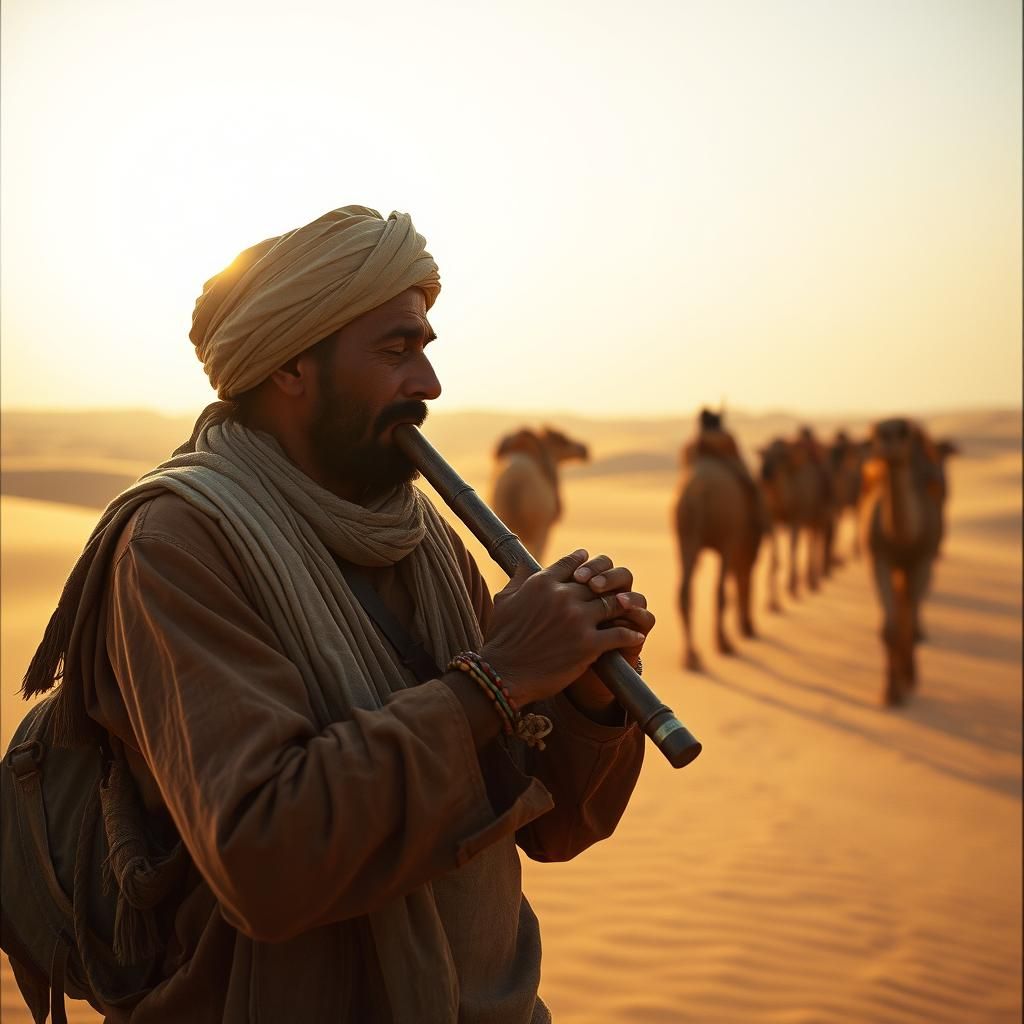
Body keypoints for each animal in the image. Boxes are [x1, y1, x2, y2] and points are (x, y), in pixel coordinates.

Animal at [675, 411, 765, 671]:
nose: (749, 627)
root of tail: (699, 493)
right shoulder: (741, 540)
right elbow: (742, 577)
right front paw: (745, 627)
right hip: (726, 536)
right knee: (720, 588)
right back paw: (724, 644)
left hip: (685, 535)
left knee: (684, 590)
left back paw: (691, 656)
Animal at [758, 430, 832, 609]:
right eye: (764, 455)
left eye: (780, 457)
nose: (764, 473)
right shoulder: (772, 521)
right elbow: (774, 557)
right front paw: (771, 602)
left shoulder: (796, 519)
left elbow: (793, 548)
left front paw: (792, 588)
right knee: (812, 540)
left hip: (817, 517)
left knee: (815, 541)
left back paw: (813, 581)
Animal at [859, 417, 945, 706]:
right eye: (875, 433)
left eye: (901, 433)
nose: (881, 448)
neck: (903, 537)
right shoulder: (879, 559)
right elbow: (890, 628)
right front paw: (889, 692)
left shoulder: (921, 561)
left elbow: (909, 621)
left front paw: (907, 680)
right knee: (901, 606)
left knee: (910, 610)